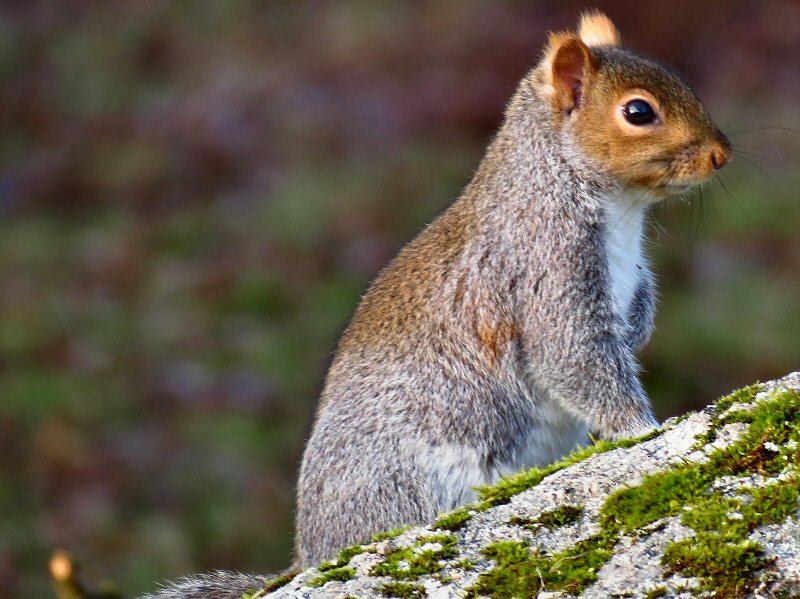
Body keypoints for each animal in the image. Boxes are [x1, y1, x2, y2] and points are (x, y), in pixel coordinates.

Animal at [139, 10, 732, 599]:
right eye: (638, 112)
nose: (721, 154)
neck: (617, 210)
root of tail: (308, 556)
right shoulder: (545, 274)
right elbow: (576, 361)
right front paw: (645, 432)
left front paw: (639, 335)